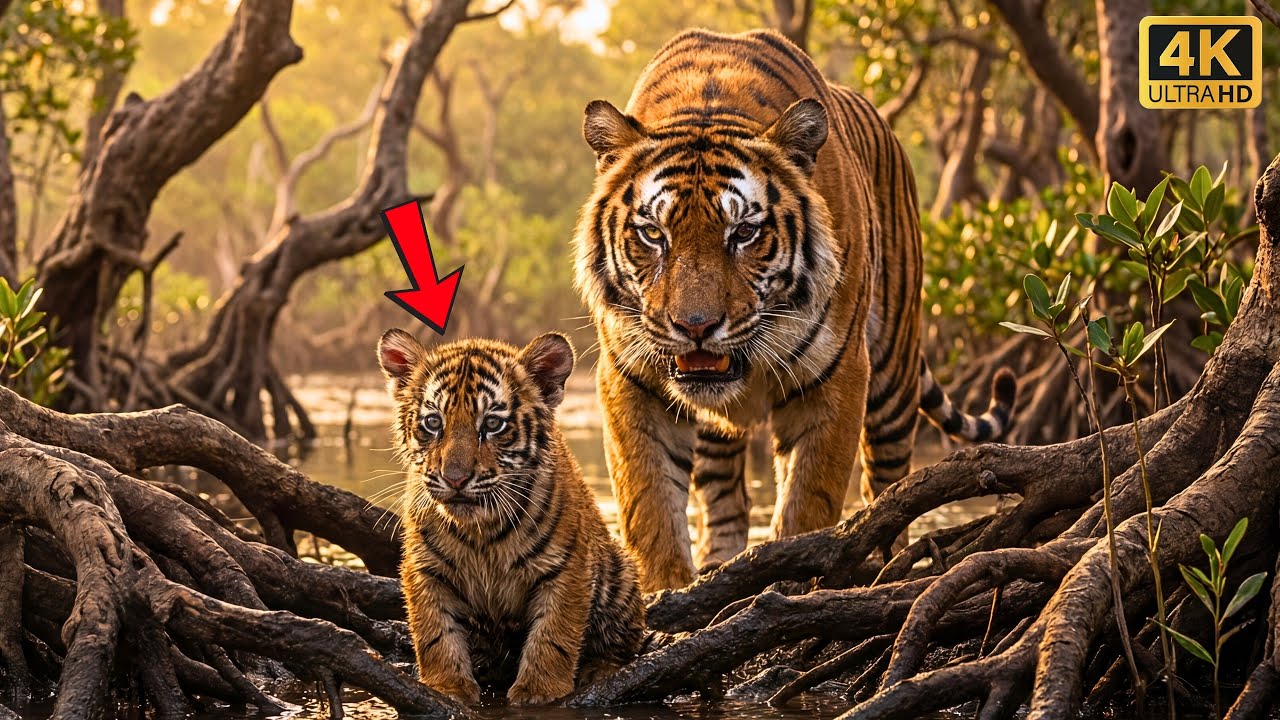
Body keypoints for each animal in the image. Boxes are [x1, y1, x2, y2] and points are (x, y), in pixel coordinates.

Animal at [377, 329, 646, 705]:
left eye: (492, 423)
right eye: (433, 423)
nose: (455, 478)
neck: (481, 531)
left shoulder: (566, 569)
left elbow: (553, 635)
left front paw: (539, 691)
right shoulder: (426, 570)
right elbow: (436, 635)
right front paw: (448, 687)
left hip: (620, 573)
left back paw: (600, 670)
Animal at [573, 28, 1017, 592]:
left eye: (744, 232)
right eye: (653, 234)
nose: (695, 327)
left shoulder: (837, 376)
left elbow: (809, 502)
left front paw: (788, 579)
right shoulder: (631, 380)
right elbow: (649, 507)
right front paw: (666, 593)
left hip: (893, 377)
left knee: (892, 493)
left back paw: (888, 566)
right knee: (725, 490)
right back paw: (718, 567)